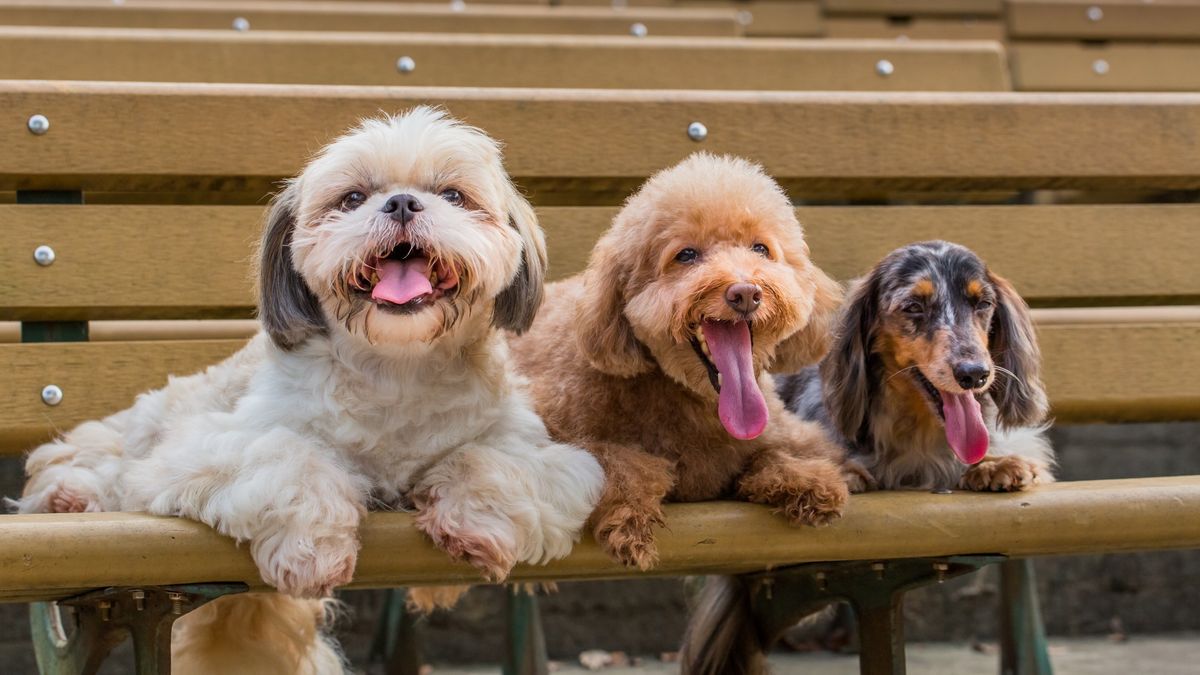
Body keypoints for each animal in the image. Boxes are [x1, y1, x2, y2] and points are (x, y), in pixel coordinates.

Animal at [14, 107, 604, 667]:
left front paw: (477, 523)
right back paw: (71, 496)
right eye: (353, 198)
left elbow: (493, 462)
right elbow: (292, 460)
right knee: (88, 455)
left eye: (454, 195)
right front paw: (313, 551)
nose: (402, 203)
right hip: (151, 426)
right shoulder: (209, 447)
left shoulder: (540, 451)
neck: (397, 369)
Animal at [508, 152, 854, 566]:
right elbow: (619, 461)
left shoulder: (779, 431)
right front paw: (631, 518)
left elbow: (781, 450)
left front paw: (809, 481)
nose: (745, 292)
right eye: (686, 255)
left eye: (760, 249)